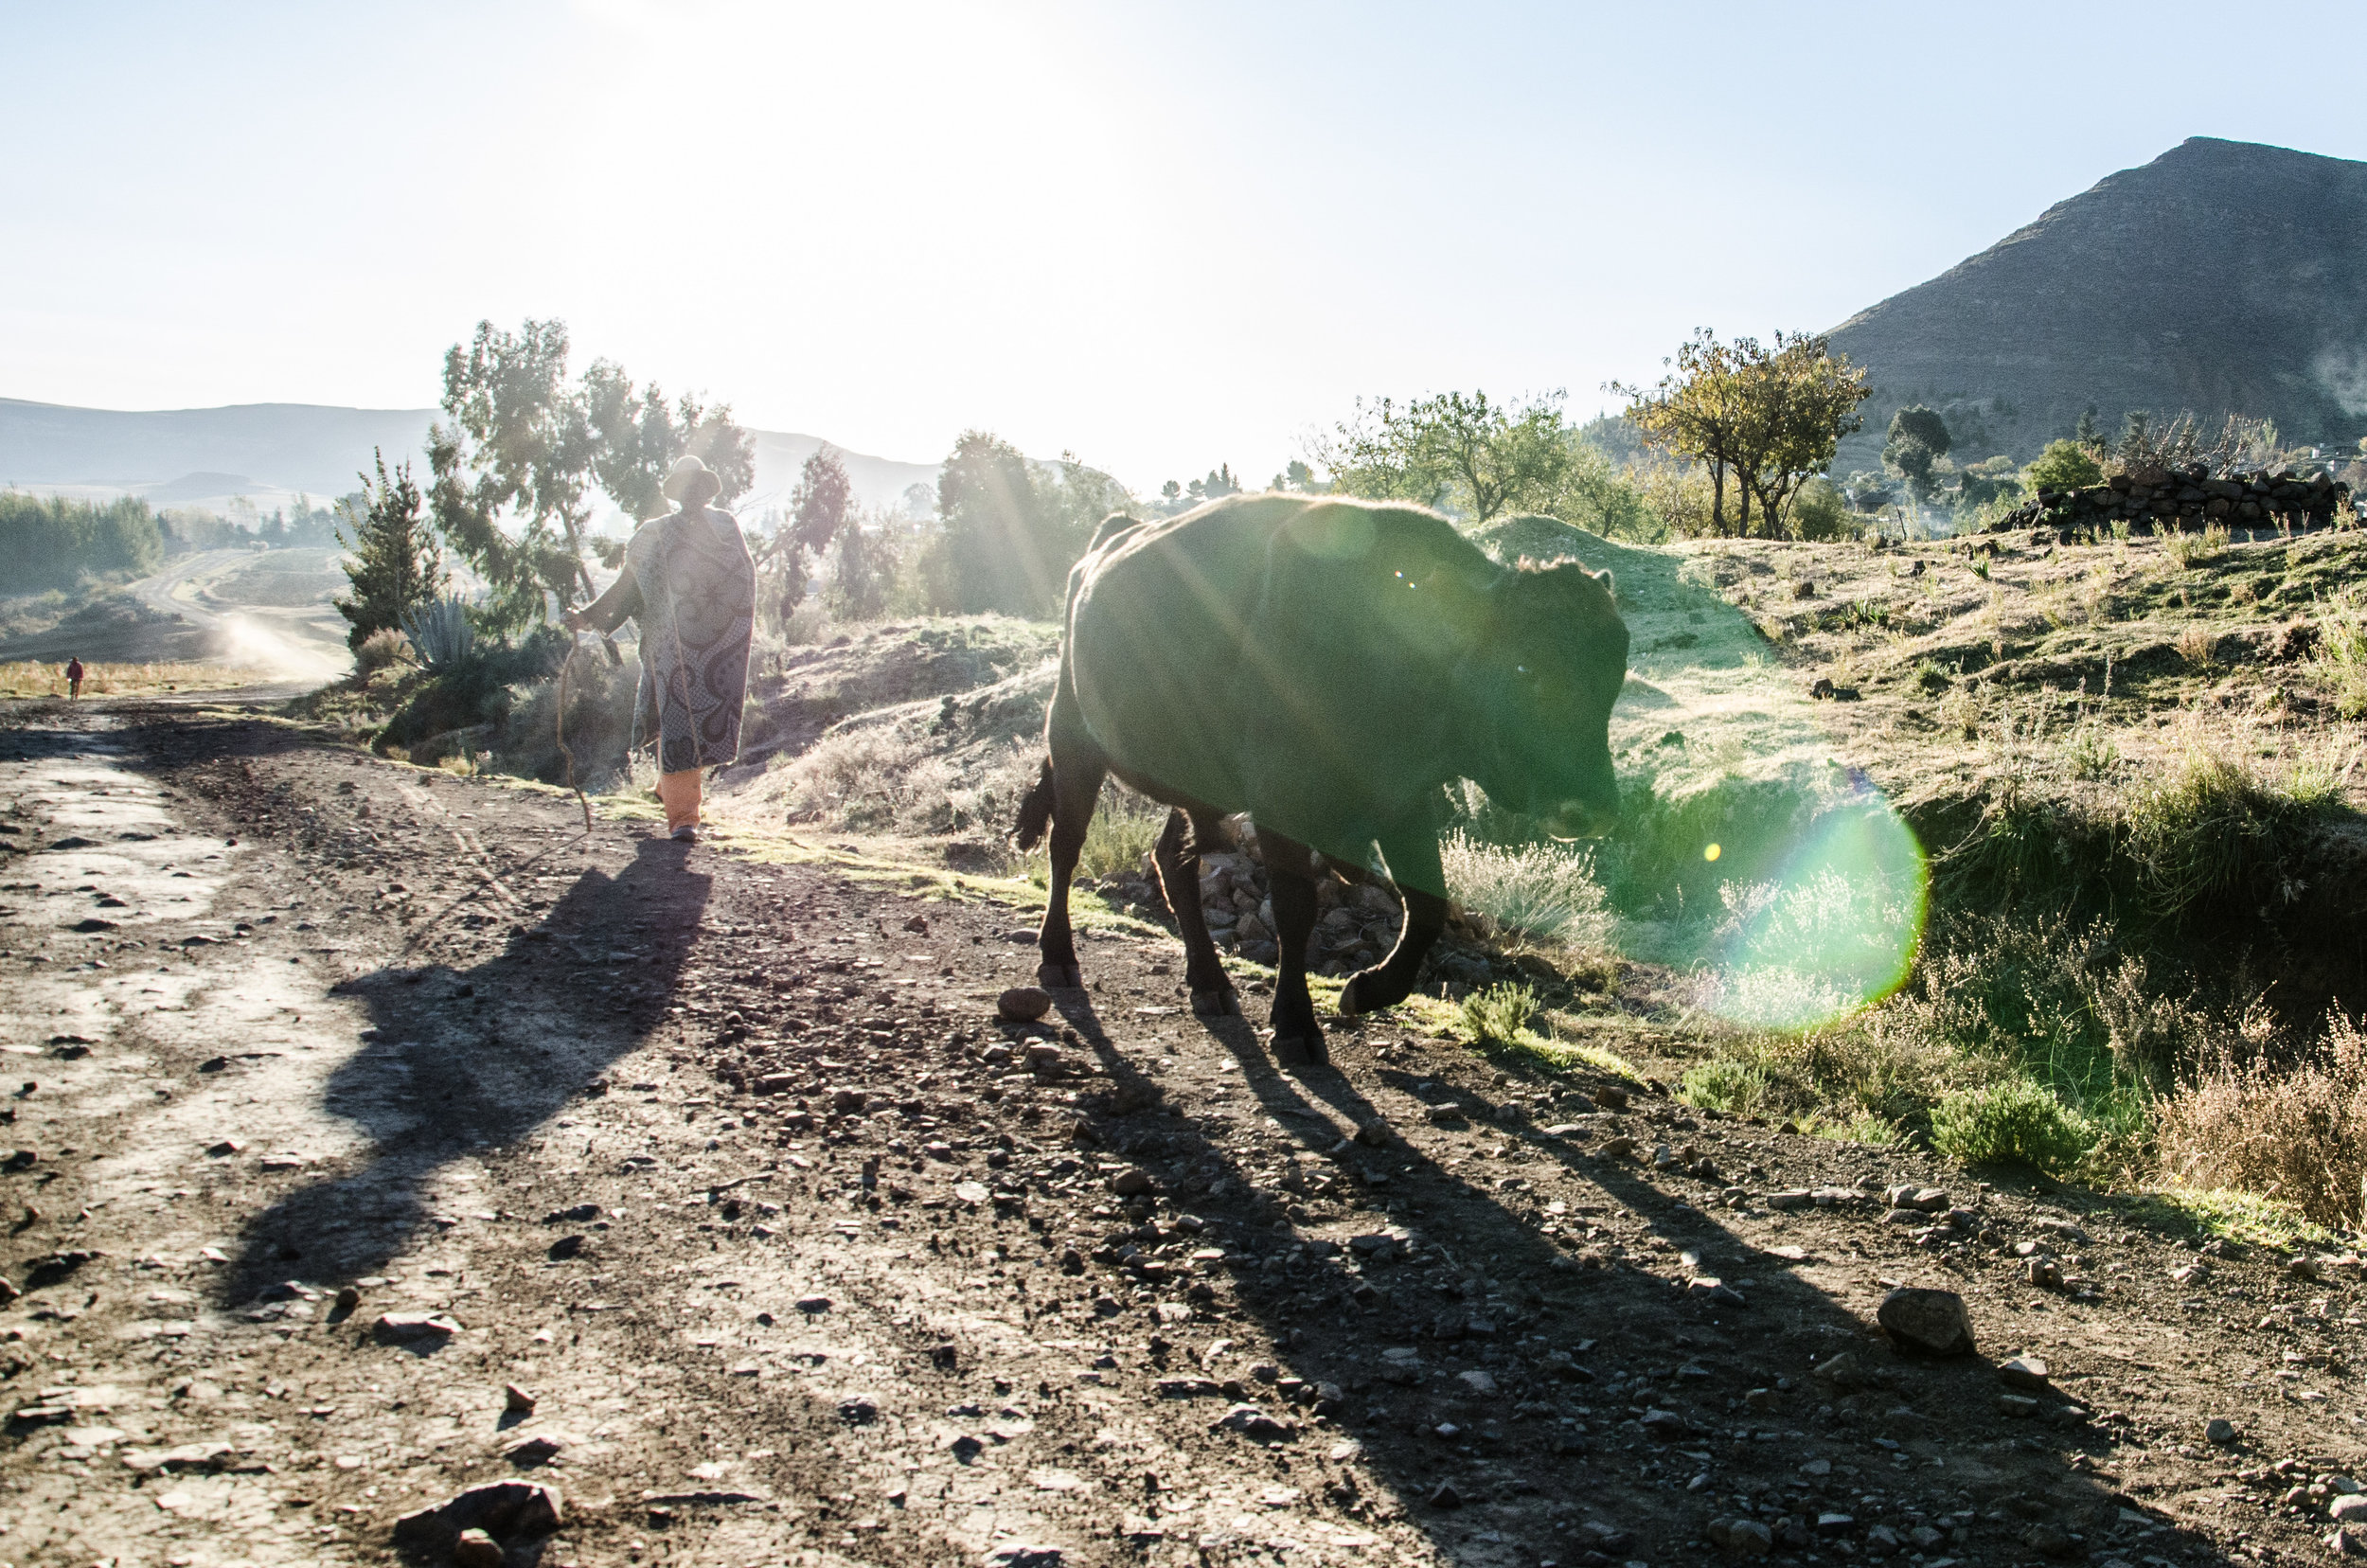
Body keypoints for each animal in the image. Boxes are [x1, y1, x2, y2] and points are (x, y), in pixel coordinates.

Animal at [999, 497, 1628, 1075]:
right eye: (1525, 670)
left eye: (1615, 675)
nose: (1594, 808)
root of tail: (1103, 547)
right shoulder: (1283, 801)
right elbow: (1296, 911)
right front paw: (1296, 1026)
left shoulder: (1402, 799)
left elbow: (1427, 906)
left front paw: (1365, 990)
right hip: (1073, 740)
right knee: (1066, 846)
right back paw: (1058, 958)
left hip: (1198, 788)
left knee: (1172, 860)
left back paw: (1210, 983)